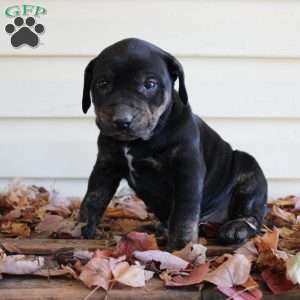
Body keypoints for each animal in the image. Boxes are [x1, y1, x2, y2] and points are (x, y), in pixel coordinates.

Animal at [79, 38, 268, 250]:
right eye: (103, 83)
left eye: (150, 84)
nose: (122, 120)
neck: (138, 141)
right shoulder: (106, 166)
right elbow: (93, 198)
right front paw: (79, 228)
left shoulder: (187, 170)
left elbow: (184, 213)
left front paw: (181, 246)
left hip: (249, 171)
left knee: (253, 214)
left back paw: (236, 227)